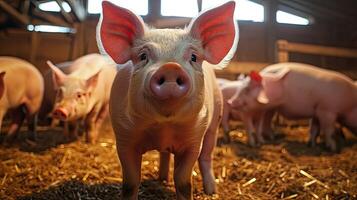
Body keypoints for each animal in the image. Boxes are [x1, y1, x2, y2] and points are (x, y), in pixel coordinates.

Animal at [96, 1, 238, 198]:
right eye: (143, 56)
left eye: (193, 57)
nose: (171, 67)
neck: (164, 126)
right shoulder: (123, 137)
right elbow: (131, 182)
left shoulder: (193, 140)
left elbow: (184, 181)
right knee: (165, 154)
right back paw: (162, 179)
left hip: (215, 121)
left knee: (206, 156)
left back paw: (211, 191)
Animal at [228, 63, 356, 152]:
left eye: (247, 89)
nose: (230, 102)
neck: (350, 105)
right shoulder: (327, 110)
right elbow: (329, 130)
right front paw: (333, 149)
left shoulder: (318, 111)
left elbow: (315, 129)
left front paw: (311, 145)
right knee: (266, 122)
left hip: (270, 109)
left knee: (266, 122)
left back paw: (272, 137)